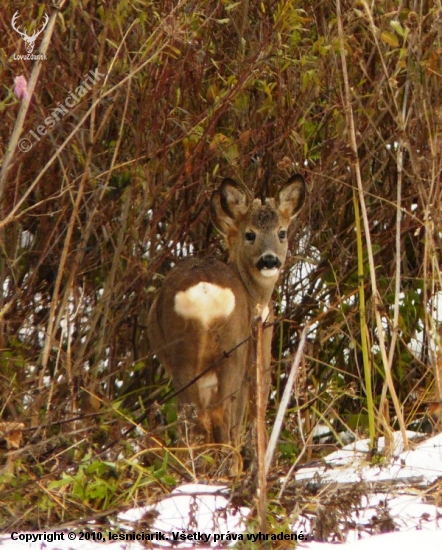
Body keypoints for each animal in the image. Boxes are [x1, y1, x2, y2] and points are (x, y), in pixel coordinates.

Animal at [147, 177, 306, 448]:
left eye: (281, 233)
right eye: (250, 234)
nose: (270, 260)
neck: (256, 297)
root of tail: (204, 292)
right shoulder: (256, 355)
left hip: (183, 356)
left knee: (191, 420)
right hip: (233, 352)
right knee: (222, 418)